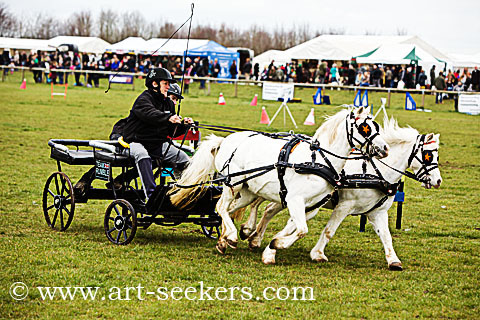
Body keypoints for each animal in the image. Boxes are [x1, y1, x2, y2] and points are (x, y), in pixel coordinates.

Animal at [170, 106, 390, 258]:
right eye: (364, 127)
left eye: (376, 126)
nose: (385, 148)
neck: (317, 160)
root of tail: (225, 140)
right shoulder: (294, 200)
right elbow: (302, 229)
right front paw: (276, 245)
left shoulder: (311, 206)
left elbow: (297, 227)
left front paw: (268, 243)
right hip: (233, 183)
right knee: (221, 207)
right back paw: (231, 236)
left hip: (247, 190)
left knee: (226, 210)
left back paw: (224, 240)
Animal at [242, 116, 440, 268]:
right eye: (428, 155)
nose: (438, 181)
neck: (374, 172)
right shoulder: (344, 206)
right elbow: (329, 230)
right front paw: (317, 253)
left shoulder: (377, 212)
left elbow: (386, 236)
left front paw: (393, 261)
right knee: (259, 203)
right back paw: (249, 230)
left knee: (268, 209)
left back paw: (255, 238)